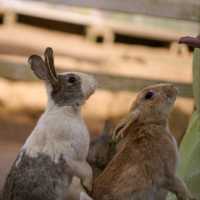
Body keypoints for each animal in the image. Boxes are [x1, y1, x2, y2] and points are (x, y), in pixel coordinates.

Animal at [1, 47, 97, 200]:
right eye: (71, 79)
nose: (94, 80)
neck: (63, 108)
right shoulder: (73, 160)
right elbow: (87, 171)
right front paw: (89, 186)